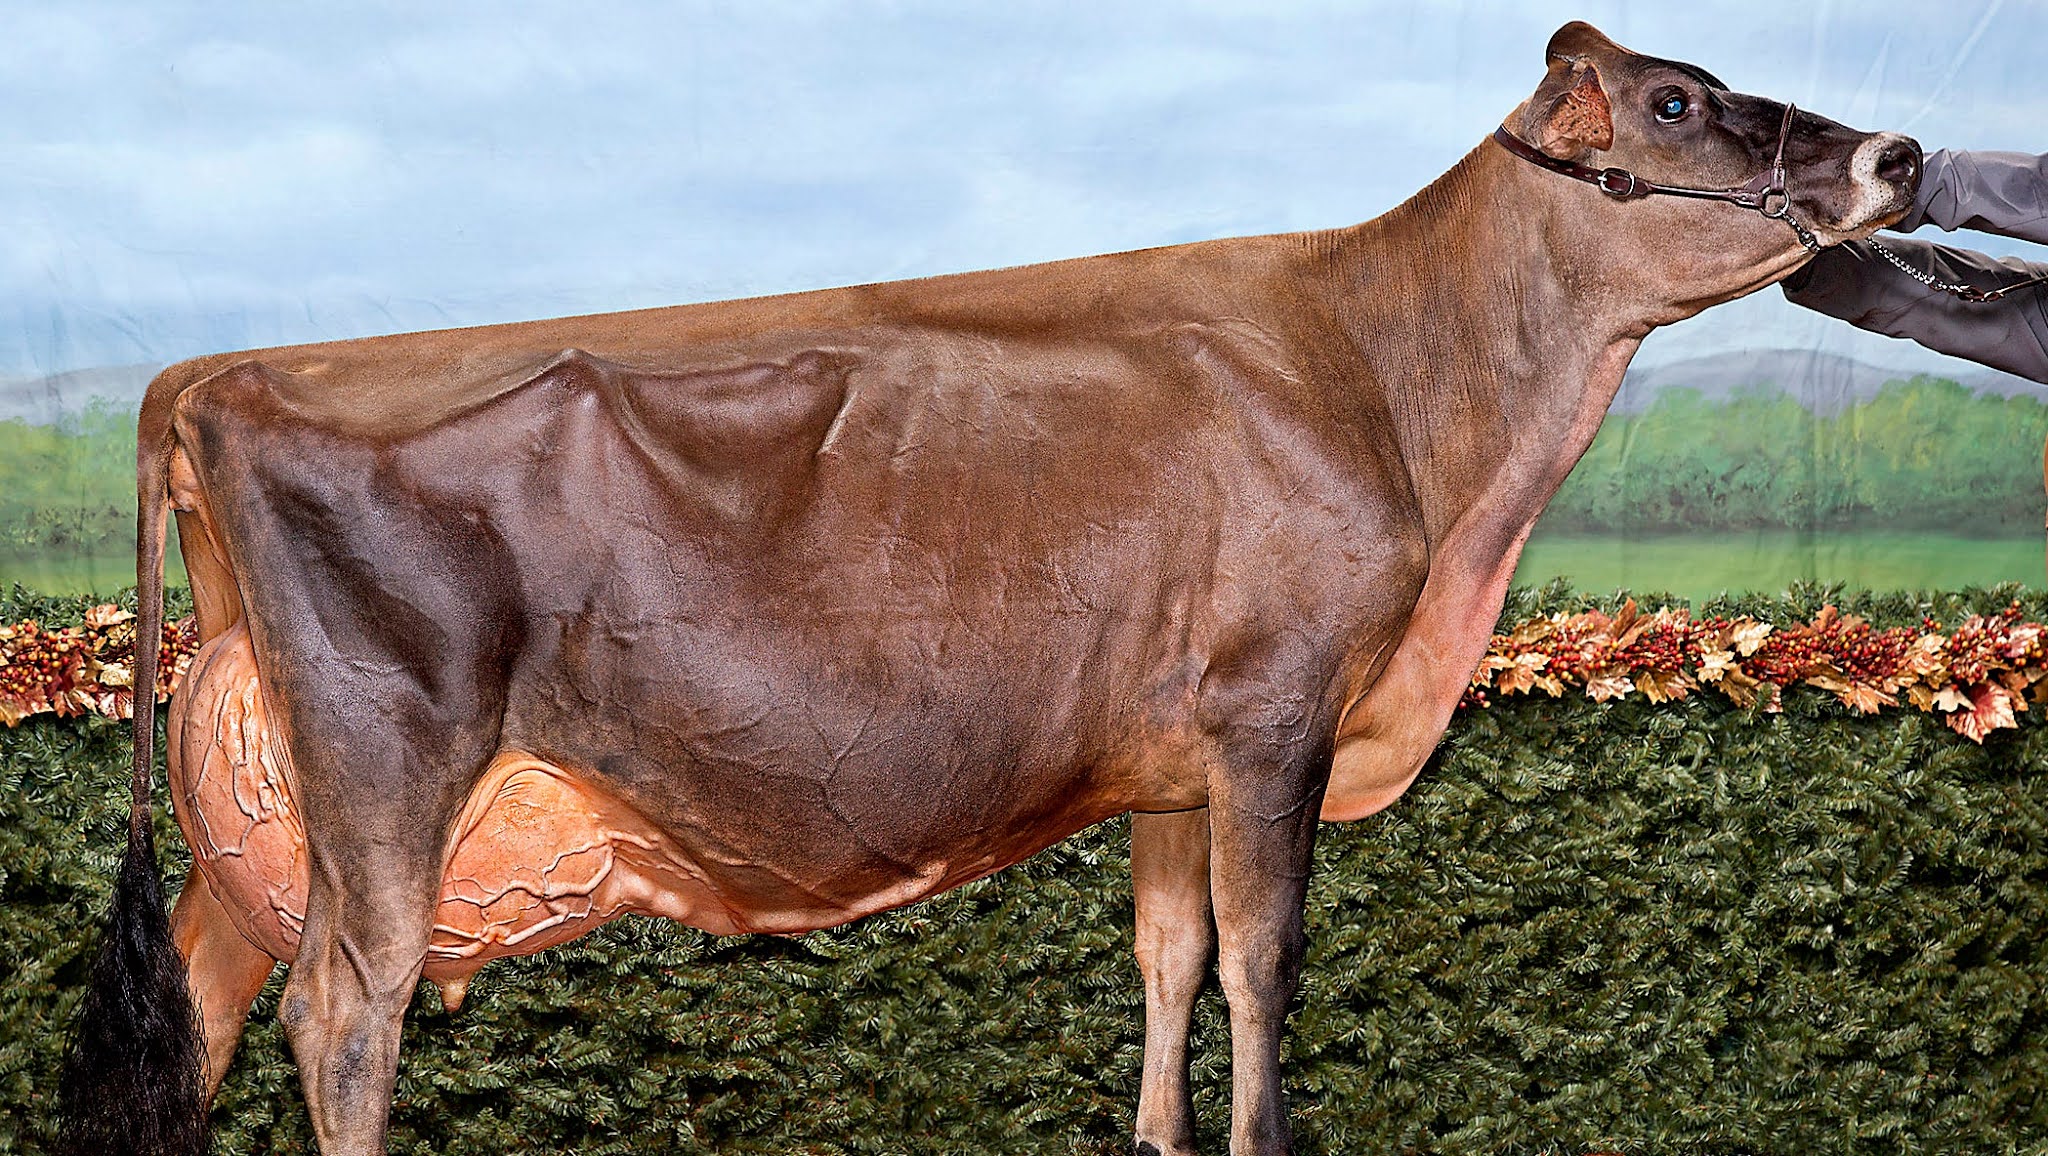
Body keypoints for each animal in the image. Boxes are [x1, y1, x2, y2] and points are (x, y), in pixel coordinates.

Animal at [58, 22, 1920, 1156]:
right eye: (1676, 102)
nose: (1897, 153)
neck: (1392, 385)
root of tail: (211, 380)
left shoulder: (1172, 760)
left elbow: (1170, 962)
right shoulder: (1275, 717)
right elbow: (1264, 966)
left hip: (258, 823)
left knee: (205, 1011)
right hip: (388, 762)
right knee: (344, 1014)